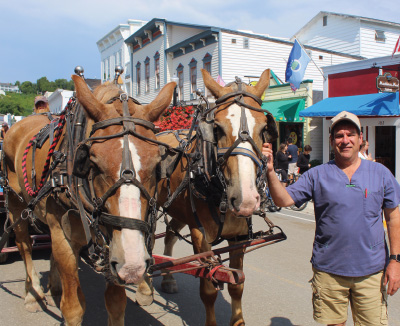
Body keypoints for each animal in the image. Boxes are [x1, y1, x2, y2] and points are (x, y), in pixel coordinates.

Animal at [2, 74, 175, 326]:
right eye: (92, 162)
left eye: (157, 164)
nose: (133, 265)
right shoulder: (63, 234)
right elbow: (73, 308)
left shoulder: (113, 244)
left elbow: (116, 303)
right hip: (16, 205)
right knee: (24, 244)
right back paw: (33, 293)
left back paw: (54, 283)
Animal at [156, 69, 278, 326]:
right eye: (218, 129)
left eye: (265, 129)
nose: (246, 200)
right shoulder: (200, 235)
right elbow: (208, 288)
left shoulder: (239, 237)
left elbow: (237, 285)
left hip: (179, 210)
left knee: (169, 235)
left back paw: (168, 278)